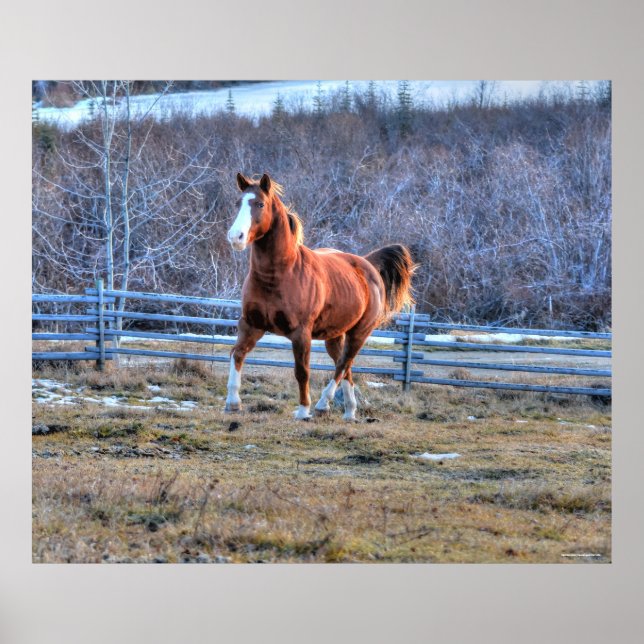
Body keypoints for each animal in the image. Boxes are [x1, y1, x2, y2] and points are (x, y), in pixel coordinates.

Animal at [225, 172, 415, 421]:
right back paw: (349, 412)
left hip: (360, 332)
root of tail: (368, 265)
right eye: (237, 203)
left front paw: (303, 410)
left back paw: (323, 404)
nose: (235, 237)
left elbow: (302, 371)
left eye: (260, 204)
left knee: (343, 364)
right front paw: (232, 402)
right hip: (334, 335)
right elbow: (237, 354)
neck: (279, 275)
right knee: (345, 366)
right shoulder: (251, 324)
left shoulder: (301, 333)